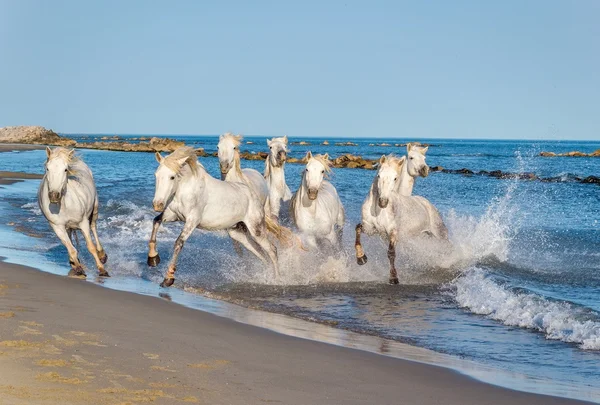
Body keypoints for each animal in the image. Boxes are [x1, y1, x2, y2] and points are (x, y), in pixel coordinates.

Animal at [38, 148, 109, 278]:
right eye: (47, 168)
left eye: (65, 169)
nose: (54, 196)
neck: (64, 205)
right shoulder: (57, 227)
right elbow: (71, 249)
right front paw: (78, 268)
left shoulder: (83, 223)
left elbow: (91, 247)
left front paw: (102, 270)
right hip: (68, 227)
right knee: (70, 238)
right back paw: (74, 263)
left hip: (94, 209)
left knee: (94, 227)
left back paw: (102, 255)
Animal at [150, 147, 282, 286]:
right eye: (156, 175)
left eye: (172, 177)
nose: (157, 205)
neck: (186, 189)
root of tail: (255, 197)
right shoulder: (173, 215)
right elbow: (156, 221)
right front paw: (153, 259)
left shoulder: (192, 220)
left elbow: (178, 243)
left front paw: (168, 279)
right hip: (237, 233)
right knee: (261, 254)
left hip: (256, 230)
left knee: (272, 250)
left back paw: (277, 280)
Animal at [354, 155, 448, 284]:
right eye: (379, 175)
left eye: (395, 178)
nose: (383, 202)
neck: (378, 210)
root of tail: (427, 204)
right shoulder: (370, 228)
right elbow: (357, 230)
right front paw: (361, 258)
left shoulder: (392, 232)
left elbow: (391, 253)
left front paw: (393, 278)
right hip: (422, 236)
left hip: (439, 233)